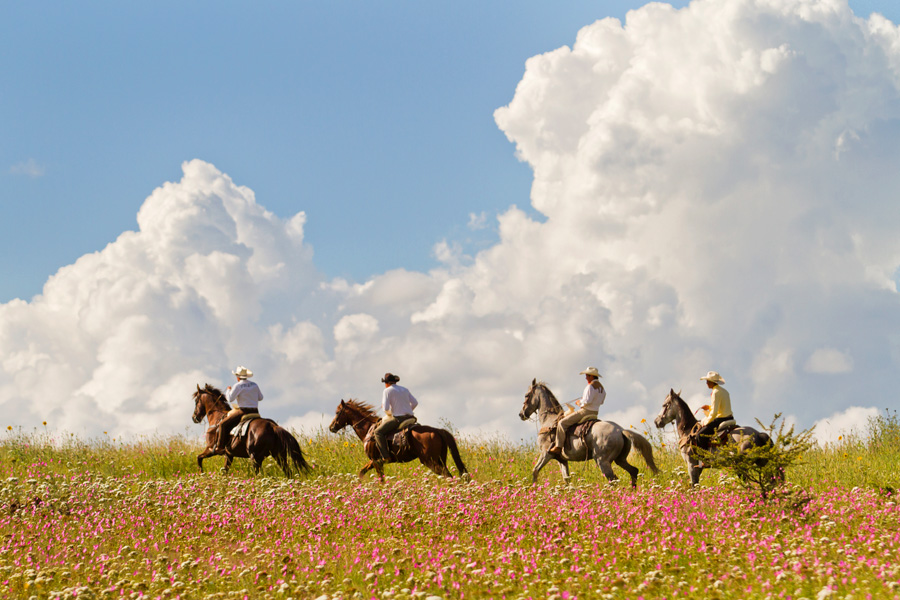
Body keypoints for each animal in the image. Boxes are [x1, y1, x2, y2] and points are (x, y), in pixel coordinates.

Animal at [330, 398, 472, 482]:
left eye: (337, 412)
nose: (331, 427)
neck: (368, 429)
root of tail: (438, 430)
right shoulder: (374, 461)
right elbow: (361, 472)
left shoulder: (376, 461)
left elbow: (381, 480)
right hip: (440, 459)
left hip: (430, 461)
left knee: (448, 476)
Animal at [516, 380, 656, 488]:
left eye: (526, 395)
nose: (521, 414)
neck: (550, 421)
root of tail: (620, 430)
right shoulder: (562, 460)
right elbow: (567, 479)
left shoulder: (546, 453)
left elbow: (535, 471)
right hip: (619, 459)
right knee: (633, 471)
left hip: (602, 461)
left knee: (614, 479)